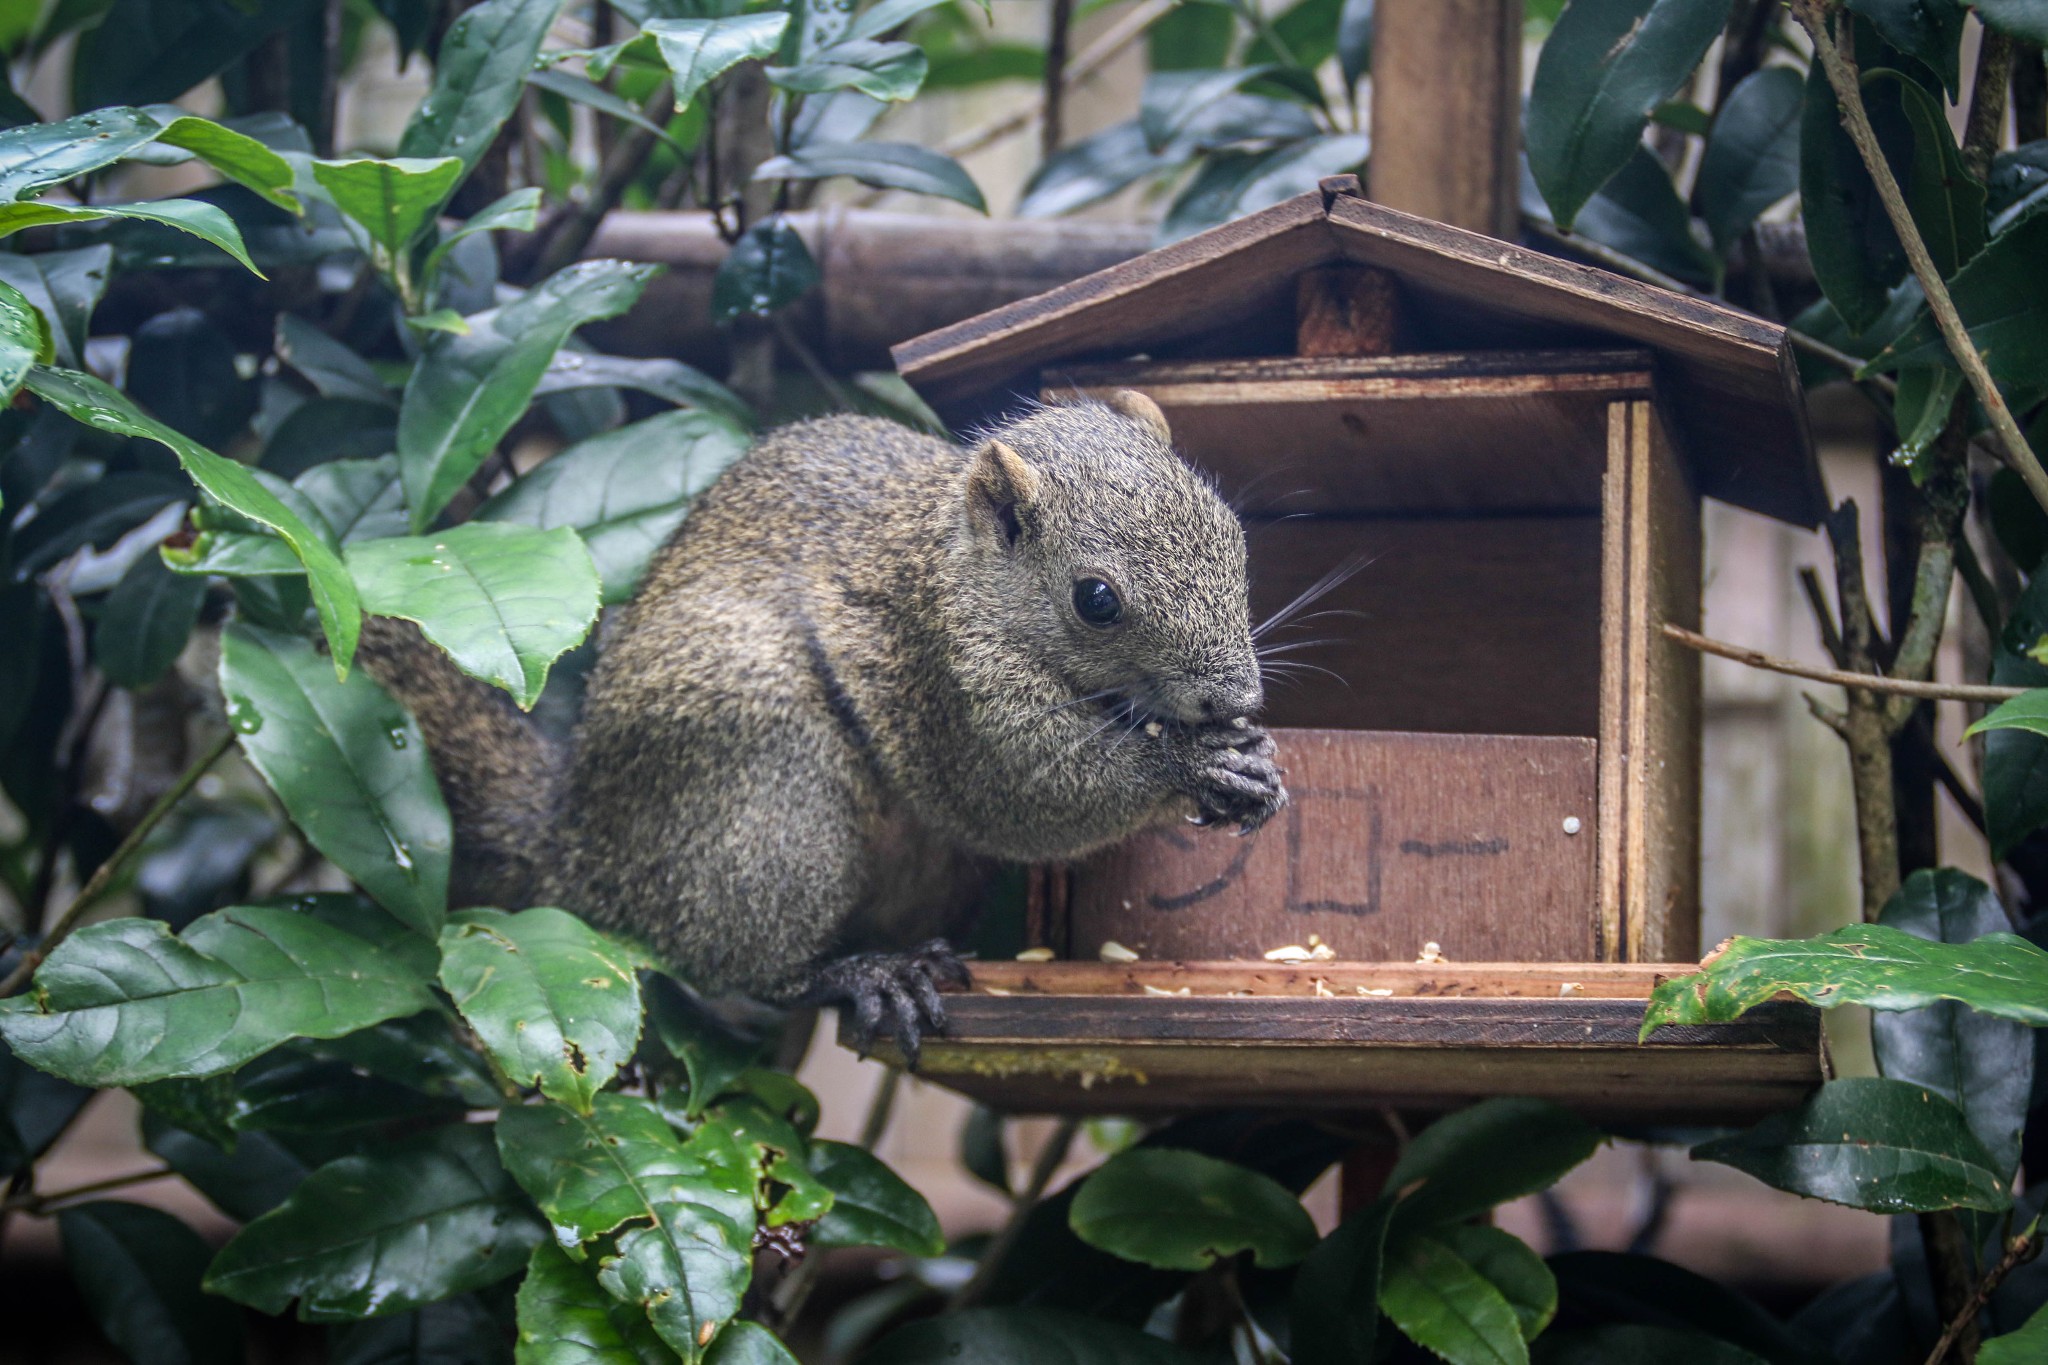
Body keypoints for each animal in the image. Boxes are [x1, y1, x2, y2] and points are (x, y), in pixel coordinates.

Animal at [352, 388, 1277, 1064]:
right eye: (1097, 599)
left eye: (1235, 535)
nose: (1234, 696)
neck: (959, 568)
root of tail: (586, 850)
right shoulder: (940, 675)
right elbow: (1023, 792)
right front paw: (1193, 768)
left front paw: (1254, 763)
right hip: (765, 781)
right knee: (741, 960)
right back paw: (861, 975)